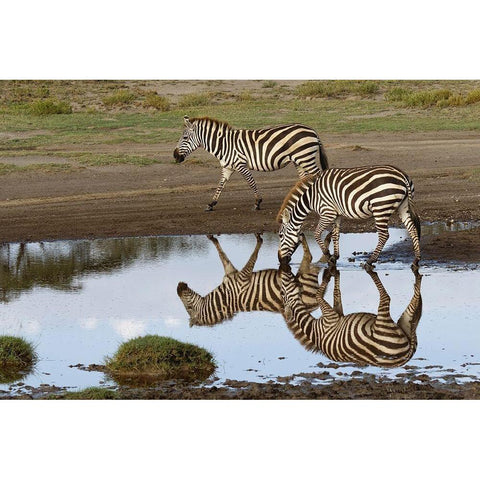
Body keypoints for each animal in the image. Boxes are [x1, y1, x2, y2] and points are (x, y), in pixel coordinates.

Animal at [173, 115, 330, 211]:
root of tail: (312, 130)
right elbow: (220, 185)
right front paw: (211, 204)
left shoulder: (240, 164)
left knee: (318, 175)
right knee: (304, 178)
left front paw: (257, 203)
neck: (224, 145)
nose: (175, 155)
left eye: (185, 138)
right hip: (299, 160)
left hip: (305, 157)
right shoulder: (227, 167)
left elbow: (251, 182)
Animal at [175, 232, 318, 326]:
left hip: (305, 278)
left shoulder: (243, 278)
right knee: (305, 249)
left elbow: (253, 256)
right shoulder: (231, 273)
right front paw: (212, 237)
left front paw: (259, 239)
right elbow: (222, 255)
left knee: (308, 256)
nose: (179, 286)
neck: (226, 296)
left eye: (188, 307)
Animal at [278, 165, 420, 268]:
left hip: (380, 208)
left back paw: (370, 261)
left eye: (280, 235)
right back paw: (416, 260)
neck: (312, 197)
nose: (280, 260)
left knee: (384, 235)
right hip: (403, 206)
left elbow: (317, 233)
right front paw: (334, 257)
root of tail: (402, 175)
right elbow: (335, 235)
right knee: (412, 229)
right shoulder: (336, 215)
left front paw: (328, 254)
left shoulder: (327, 212)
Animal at [280, 264, 422, 366]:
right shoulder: (330, 317)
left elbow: (336, 293)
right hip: (384, 324)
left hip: (404, 324)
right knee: (387, 298)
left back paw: (417, 277)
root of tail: (406, 356)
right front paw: (327, 274)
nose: (285, 271)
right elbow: (318, 295)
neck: (314, 330)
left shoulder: (335, 313)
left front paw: (332, 271)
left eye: (282, 292)